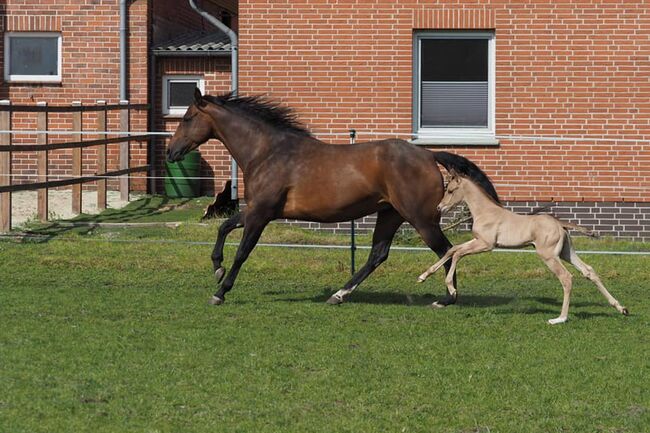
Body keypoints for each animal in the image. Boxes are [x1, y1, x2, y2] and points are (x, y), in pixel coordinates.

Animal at [166, 88, 496, 306]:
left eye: (188, 118)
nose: (171, 152)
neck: (267, 152)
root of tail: (428, 154)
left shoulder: (261, 213)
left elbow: (243, 251)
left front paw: (220, 291)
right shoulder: (257, 210)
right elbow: (224, 228)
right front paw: (217, 268)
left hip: (421, 218)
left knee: (447, 250)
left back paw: (448, 298)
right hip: (390, 214)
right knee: (378, 254)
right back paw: (339, 294)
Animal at [416, 170, 628, 322]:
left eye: (451, 190)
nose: (440, 208)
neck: (485, 212)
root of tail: (560, 224)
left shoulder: (486, 244)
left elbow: (458, 254)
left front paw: (452, 289)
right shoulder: (476, 240)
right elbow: (453, 250)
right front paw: (423, 277)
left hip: (549, 256)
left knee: (566, 278)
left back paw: (560, 318)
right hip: (566, 253)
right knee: (589, 271)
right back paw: (621, 308)